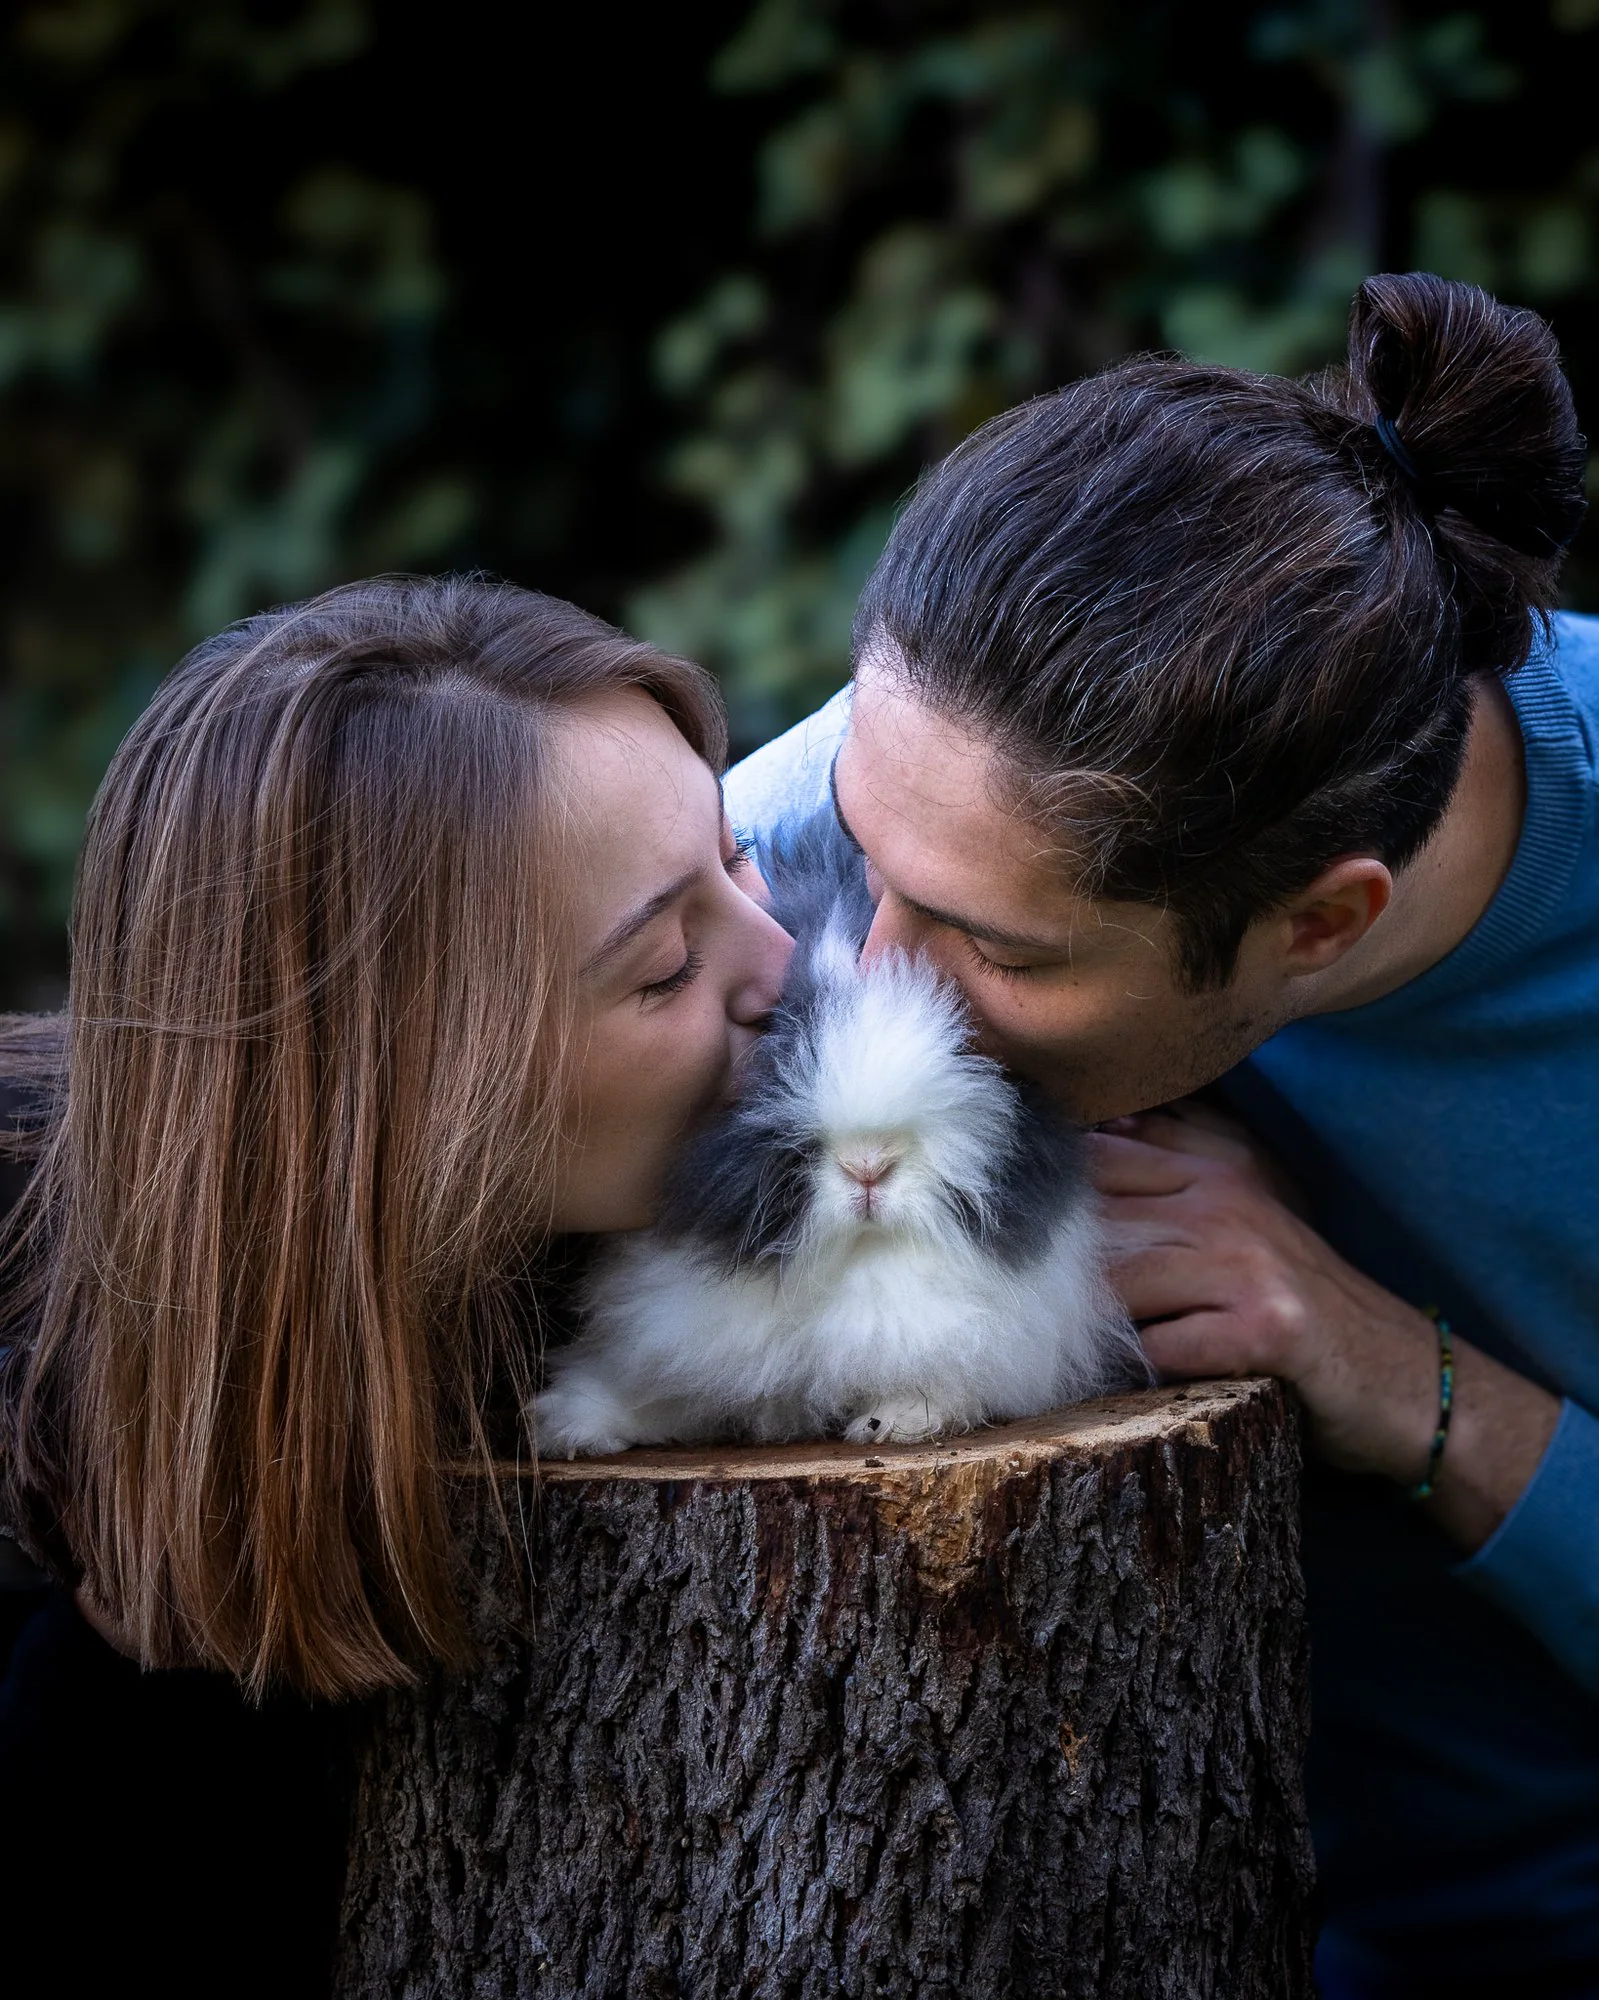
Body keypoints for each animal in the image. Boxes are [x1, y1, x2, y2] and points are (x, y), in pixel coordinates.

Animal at [533, 807, 1146, 1457]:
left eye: (970, 1041)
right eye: (773, 1025)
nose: (869, 1166)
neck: (860, 1267)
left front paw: (897, 1420)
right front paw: (572, 1425)